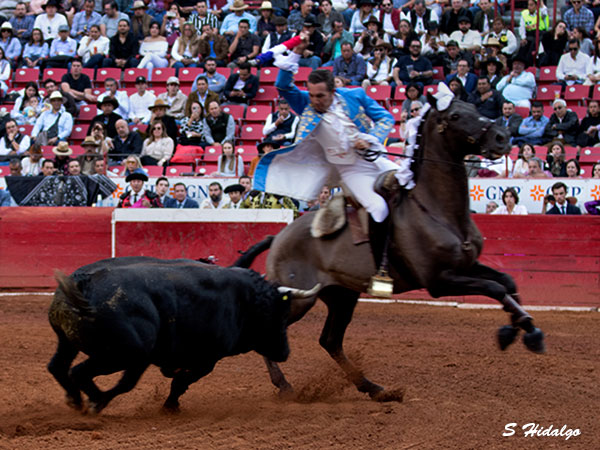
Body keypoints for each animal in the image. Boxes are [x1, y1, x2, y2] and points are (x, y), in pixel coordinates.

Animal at [48, 256, 318, 414]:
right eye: (280, 315)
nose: (285, 352)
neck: (245, 299)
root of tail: (85, 282)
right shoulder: (207, 359)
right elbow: (178, 381)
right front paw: (170, 406)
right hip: (120, 355)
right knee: (79, 372)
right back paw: (94, 402)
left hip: (70, 343)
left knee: (58, 367)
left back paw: (76, 400)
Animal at [238, 97, 544, 400]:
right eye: (455, 116)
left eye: (475, 108)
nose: (502, 137)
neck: (437, 210)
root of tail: (279, 236)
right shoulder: (439, 281)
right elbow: (496, 288)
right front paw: (521, 330)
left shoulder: (467, 266)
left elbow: (506, 281)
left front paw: (525, 328)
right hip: (301, 298)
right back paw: (285, 386)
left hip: (342, 295)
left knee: (330, 340)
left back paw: (373, 388)